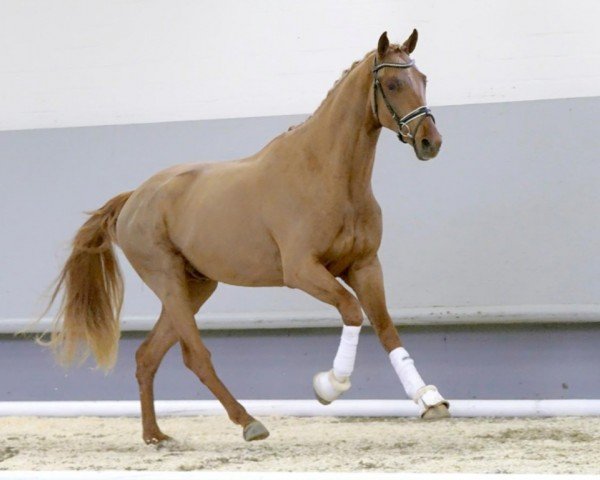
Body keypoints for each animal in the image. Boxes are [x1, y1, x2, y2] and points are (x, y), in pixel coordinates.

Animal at [47, 29, 448, 442]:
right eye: (393, 83)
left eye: (424, 79)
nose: (430, 142)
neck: (329, 176)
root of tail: (134, 198)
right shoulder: (302, 271)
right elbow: (352, 312)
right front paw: (329, 386)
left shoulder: (365, 266)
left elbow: (386, 328)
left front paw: (429, 400)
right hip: (168, 281)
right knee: (194, 356)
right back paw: (248, 422)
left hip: (196, 287)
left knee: (147, 355)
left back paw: (155, 435)